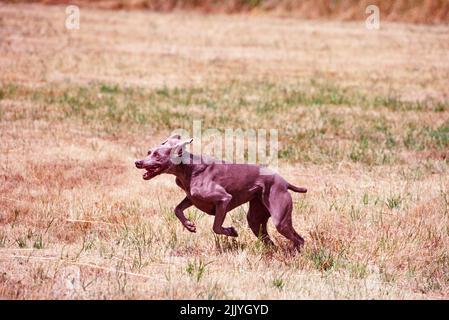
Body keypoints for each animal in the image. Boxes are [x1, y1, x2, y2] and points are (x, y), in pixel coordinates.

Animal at [135, 134, 306, 249]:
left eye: (157, 155)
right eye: (149, 152)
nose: (137, 162)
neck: (189, 168)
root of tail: (284, 182)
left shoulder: (224, 199)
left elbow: (216, 227)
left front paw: (231, 231)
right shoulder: (191, 198)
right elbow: (177, 209)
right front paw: (189, 225)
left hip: (279, 218)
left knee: (299, 239)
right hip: (256, 218)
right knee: (269, 239)